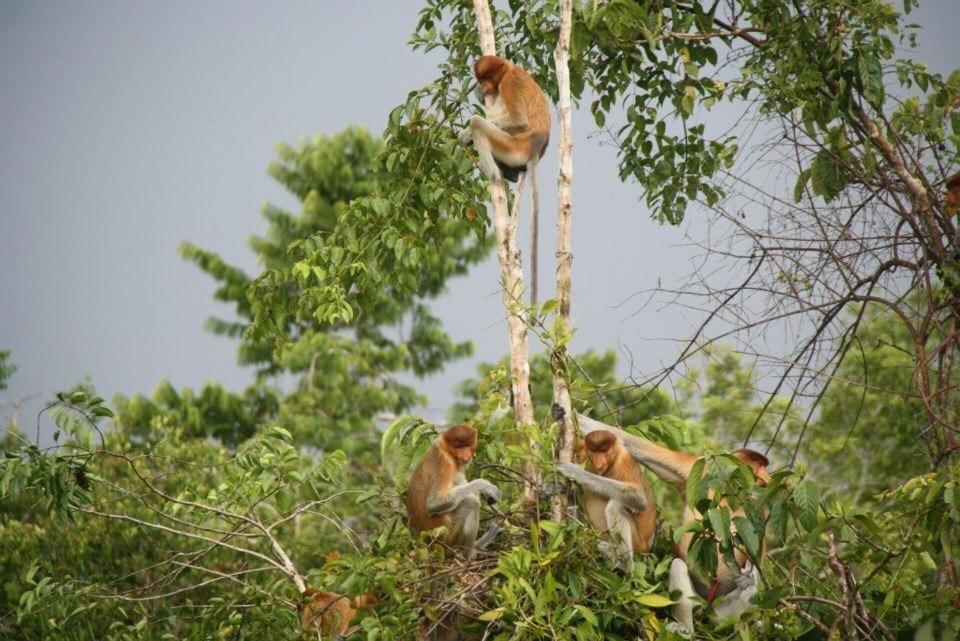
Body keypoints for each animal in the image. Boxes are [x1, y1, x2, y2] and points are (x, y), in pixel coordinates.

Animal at [406, 425, 500, 557]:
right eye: (458, 447)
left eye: (467, 445)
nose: (466, 455)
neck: (446, 451)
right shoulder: (443, 462)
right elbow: (434, 503)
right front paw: (483, 485)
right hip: (448, 540)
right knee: (470, 503)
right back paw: (469, 553)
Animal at [458, 55, 551, 304]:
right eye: (482, 79)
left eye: (488, 78)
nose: (487, 87)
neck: (508, 69)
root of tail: (534, 151)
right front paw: (480, 94)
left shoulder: (509, 83)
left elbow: (519, 121)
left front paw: (465, 134)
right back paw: (509, 173)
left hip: (512, 146)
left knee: (479, 123)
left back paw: (492, 171)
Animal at [556, 430, 656, 569]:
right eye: (594, 451)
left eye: (604, 451)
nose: (598, 463)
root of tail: (647, 547)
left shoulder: (624, 461)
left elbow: (639, 498)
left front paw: (575, 471)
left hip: (638, 544)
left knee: (616, 505)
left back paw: (624, 563)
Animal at [575, 413, 770, 634]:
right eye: (758, 462)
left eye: (763, 464)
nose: (767, 476)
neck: (727, 489)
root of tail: (708, 606)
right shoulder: (696, 467)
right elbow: (637, 446)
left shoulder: (757, 503)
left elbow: (759, 547)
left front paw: (750, 574)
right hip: (701, 601)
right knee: (678, 565)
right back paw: (686, 628)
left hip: (726, 610)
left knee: (748, 593)